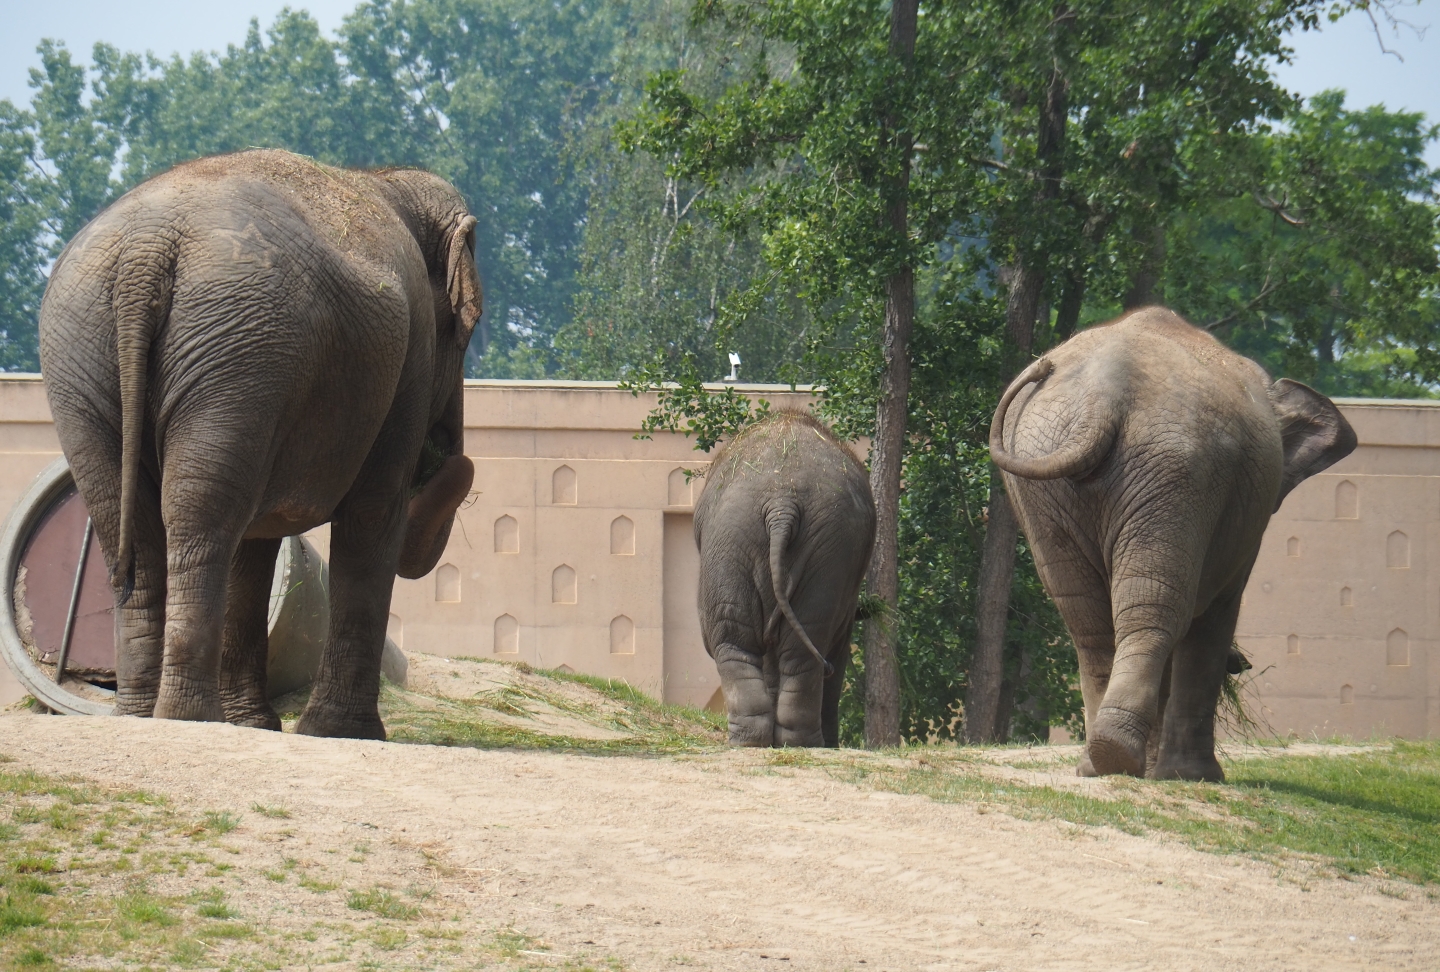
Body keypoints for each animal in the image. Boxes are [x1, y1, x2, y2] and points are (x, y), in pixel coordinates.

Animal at [38, 149, 483, 739]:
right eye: (466, 331)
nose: (449, 455)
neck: (383, 180)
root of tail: (145, 251)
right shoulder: (407, 362)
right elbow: (371, 513)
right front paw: (344, 732)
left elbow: (257, 537)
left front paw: (257, 725)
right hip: (233, 356)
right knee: (202, 514)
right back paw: (190, 717)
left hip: (95, 353)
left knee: (129, 519)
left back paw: (141, 715)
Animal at [694, 409, 876, 747]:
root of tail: (781, 503)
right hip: (763, 538)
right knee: (783, 642)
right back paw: (786, 741)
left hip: (741, 536)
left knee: (743, 639)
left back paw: (767, 741)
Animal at [988, 307, 1355, 781]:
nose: (1245, 663)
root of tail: (1103, 396)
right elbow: (1217, 614)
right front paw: (1195, 776)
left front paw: (1157, 770)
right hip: (1173, 472)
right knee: (1156, 610)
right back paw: (1127, 761)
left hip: (1056, 480)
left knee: (1094, 621)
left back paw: (1100, 762)